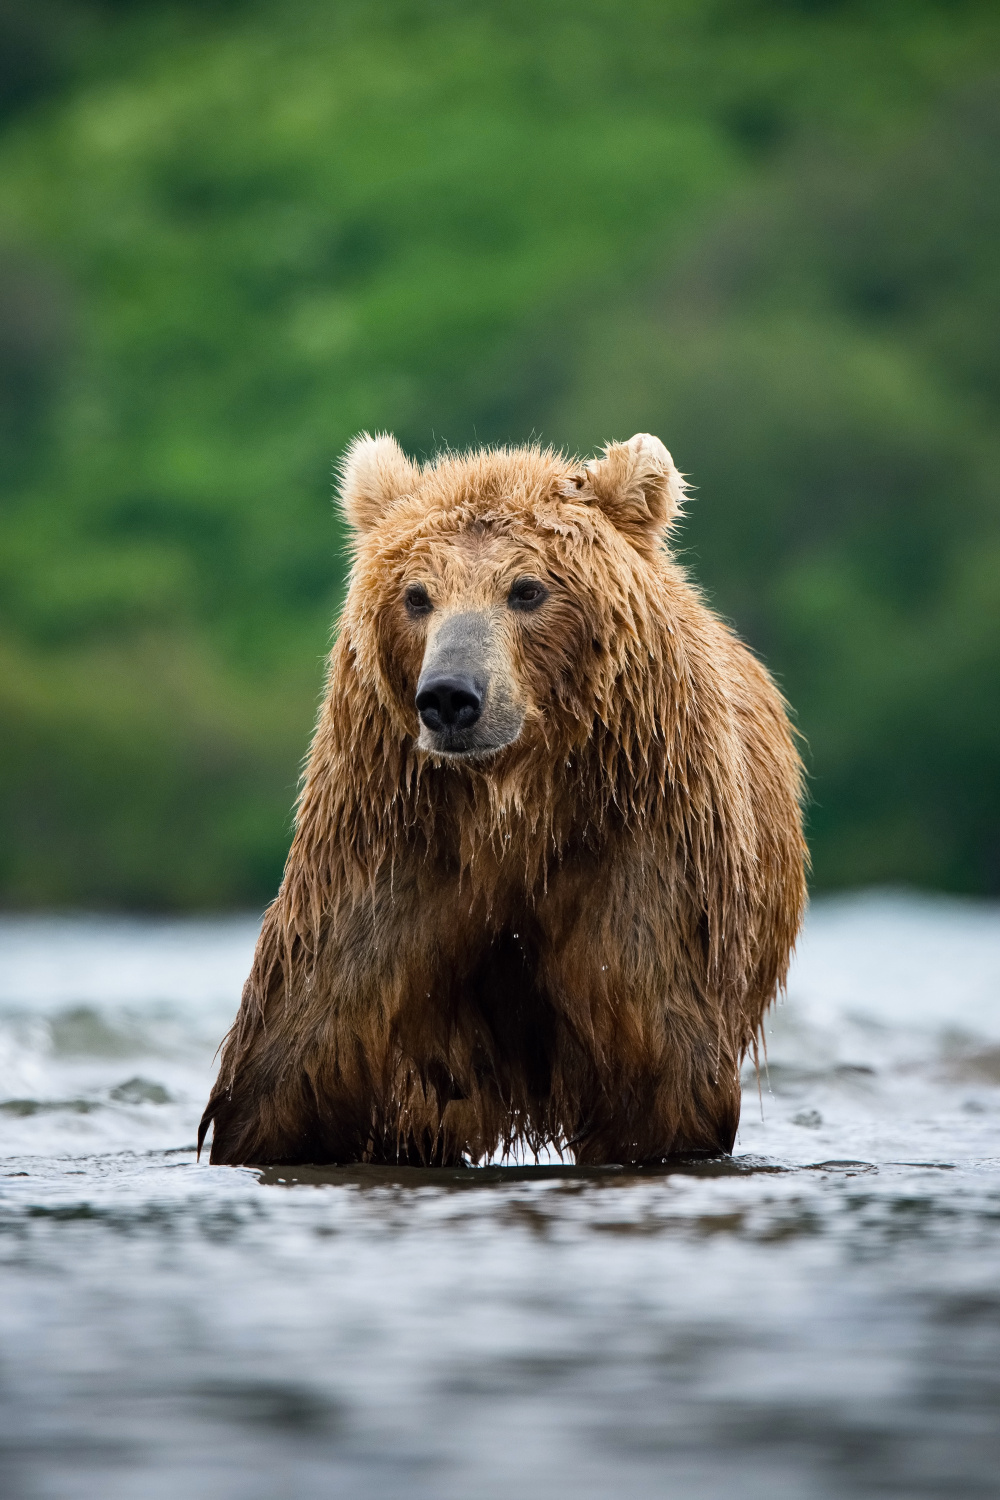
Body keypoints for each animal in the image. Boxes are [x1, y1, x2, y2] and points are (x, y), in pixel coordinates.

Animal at [199, 435, 809, 1170]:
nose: (450, 696)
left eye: (527, 589)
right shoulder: (388, 853)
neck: (510, 803)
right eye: (416, 595)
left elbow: (659, 1076)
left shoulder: (639, 857)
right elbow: (296, 1060)